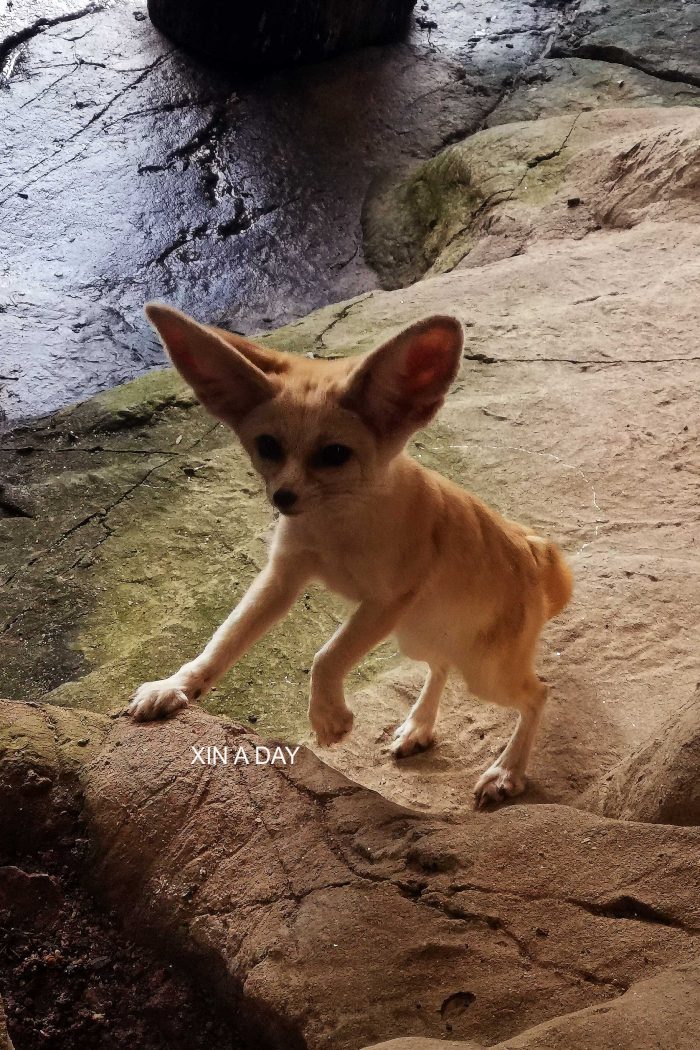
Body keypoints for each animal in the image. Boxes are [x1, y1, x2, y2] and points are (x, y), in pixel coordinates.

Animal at [127, 300, 575, 806]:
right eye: (268, 446)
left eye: (335, 454)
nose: (283, 498)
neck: (335, 526)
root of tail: (533, 549)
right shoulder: (283, 577)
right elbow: (224, 638)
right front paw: (177, 686)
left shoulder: (386, 600)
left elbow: (327, 655)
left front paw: (328, 717)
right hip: (420, 637)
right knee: (441, 665)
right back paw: (419, 726)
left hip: (483, 671)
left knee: (538, 693)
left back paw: (507, 770)